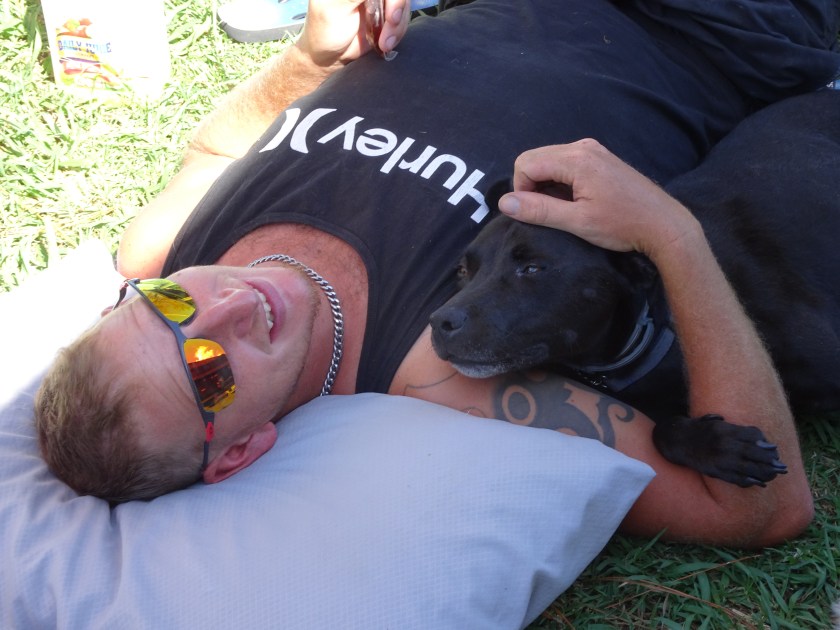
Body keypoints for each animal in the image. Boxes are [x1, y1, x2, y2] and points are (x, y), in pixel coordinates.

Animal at [430, 90, 840, 486]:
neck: (656, 325)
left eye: (532, 268)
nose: (439, 323)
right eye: (464, 270)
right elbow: (661, 432)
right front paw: (717, 446)